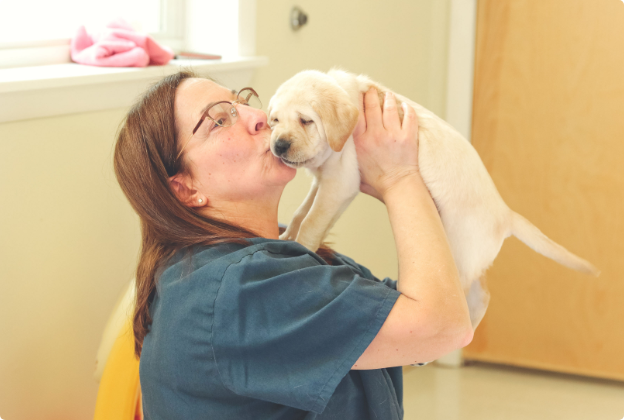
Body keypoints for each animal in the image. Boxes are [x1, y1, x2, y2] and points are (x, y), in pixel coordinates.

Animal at [270, 69, 600, 328]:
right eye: (273, 121)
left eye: (305, 121)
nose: (279, 145)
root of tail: (505, 214)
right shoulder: (325, 181)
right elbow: (302, 212)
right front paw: (286, 235)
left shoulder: (340, 182)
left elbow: (312, 221)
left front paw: (301, 247)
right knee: (482, 293)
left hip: (459, 252)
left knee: (473, 295)